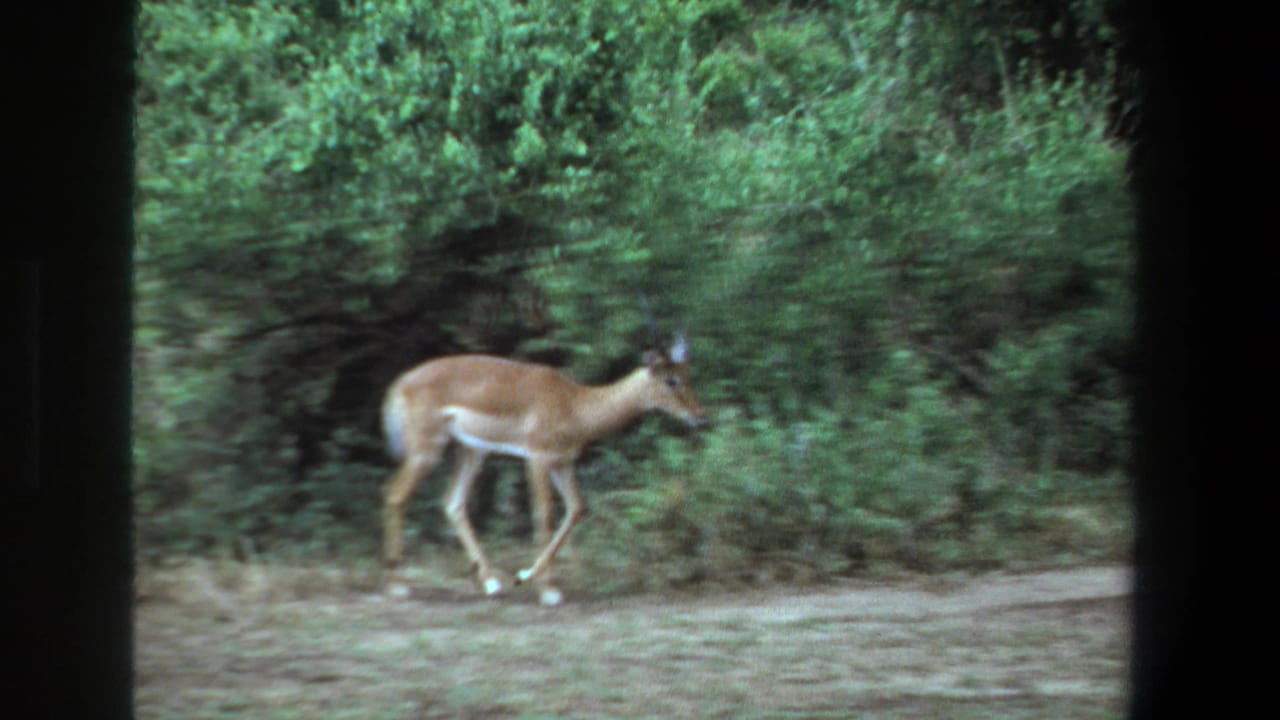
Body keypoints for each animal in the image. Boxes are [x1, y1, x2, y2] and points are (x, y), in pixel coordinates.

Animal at [380, 334, 706, 605]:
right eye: (671, 380)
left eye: (688, 375)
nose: (700, 416)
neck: (575, 404)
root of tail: (400, 384)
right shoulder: (537, 458)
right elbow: (544, 514)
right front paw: (542, 587)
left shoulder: (562, 462)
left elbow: (576, 508)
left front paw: (530, 579)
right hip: (427, 451)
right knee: (396, 495)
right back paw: (398, 586)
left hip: (472, 452)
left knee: (453, 503)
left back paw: (492, 584)